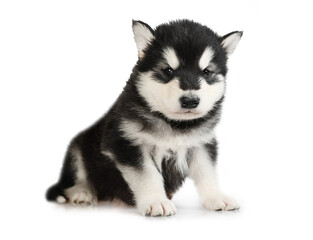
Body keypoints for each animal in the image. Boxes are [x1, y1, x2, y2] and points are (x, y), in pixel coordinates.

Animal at [45, 19, 241, 217]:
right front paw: (157, 202)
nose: (190, 101)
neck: (174, 123)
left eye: (207, 72)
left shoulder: (201, 144)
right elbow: (148, 174)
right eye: (168, 71)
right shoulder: (127, 142)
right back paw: (83, 193)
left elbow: (207, 173)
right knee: (75, 180)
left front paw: (217, 197)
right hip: (77, 150)